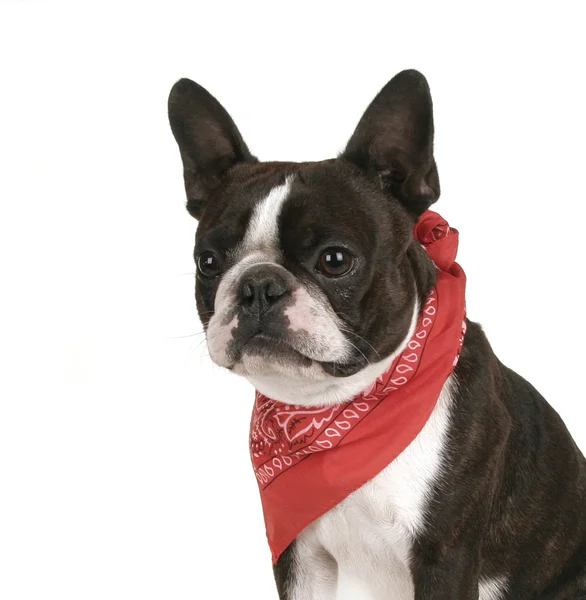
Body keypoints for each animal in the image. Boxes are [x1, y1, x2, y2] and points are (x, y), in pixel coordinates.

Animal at [167, 68, 580, 596]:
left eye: (334, 259)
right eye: (208, 262)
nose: (258, 284)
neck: (340, 408)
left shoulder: (445, 557)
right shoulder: (300, 554)